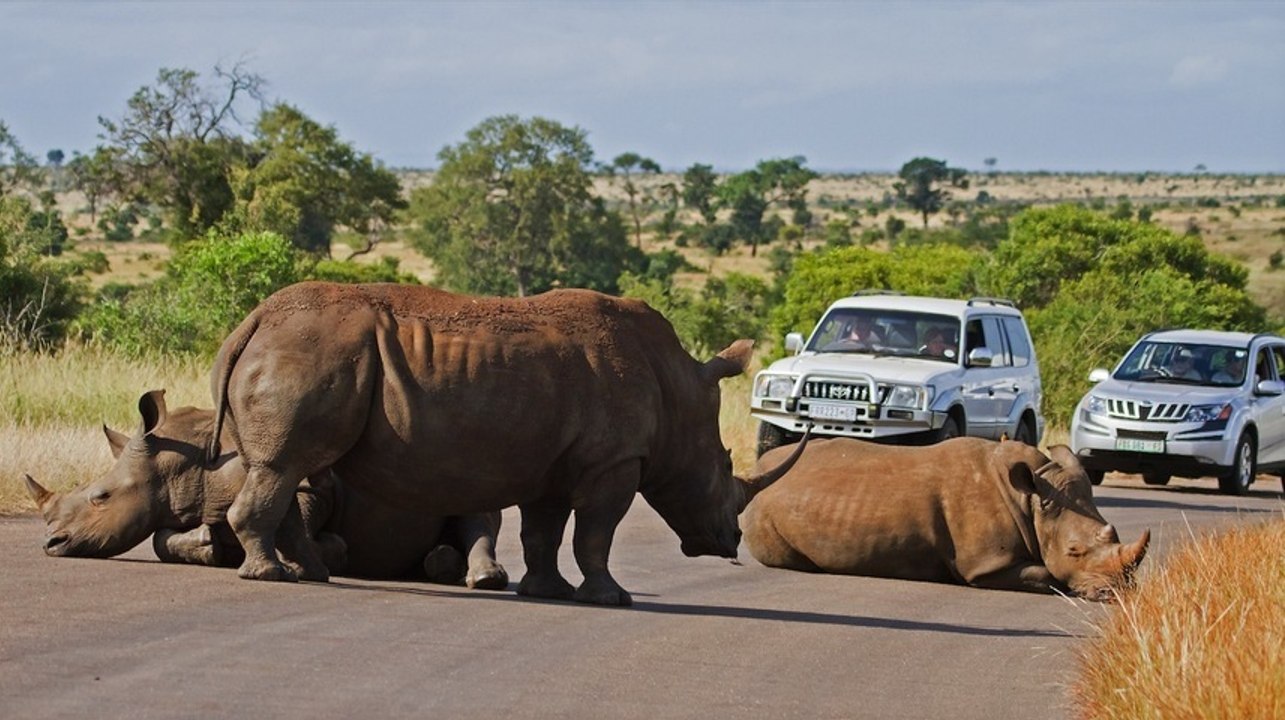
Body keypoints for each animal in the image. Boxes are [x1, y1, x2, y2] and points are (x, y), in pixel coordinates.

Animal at [25, 390, 508, 589]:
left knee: (478, 510)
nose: (52, 544)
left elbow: (303, 519)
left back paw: (480, 577)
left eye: (101, 498)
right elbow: (162, 538)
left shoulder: (312, 481)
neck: (187, 456)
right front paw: (208, 544)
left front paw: (317, 557)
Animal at [205, 282, 805, 605]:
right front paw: (613, 599)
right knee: (284, 466)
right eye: (724, 466)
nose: (730, 540)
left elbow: (544, 531)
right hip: (306, 354)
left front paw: (547, 592)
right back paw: (272, 575)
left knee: (281, 468)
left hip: (296, 353)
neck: (679, 389)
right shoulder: (612, 462)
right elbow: (595, 533)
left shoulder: (555, 465)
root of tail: (253, 321)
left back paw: (309, 573)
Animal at [741, 437, 1150, 600]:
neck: (1032, 497)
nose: (1118, 592)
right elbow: (1046, 574)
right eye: (1074, 551)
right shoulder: (985, 564)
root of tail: (756, 470)